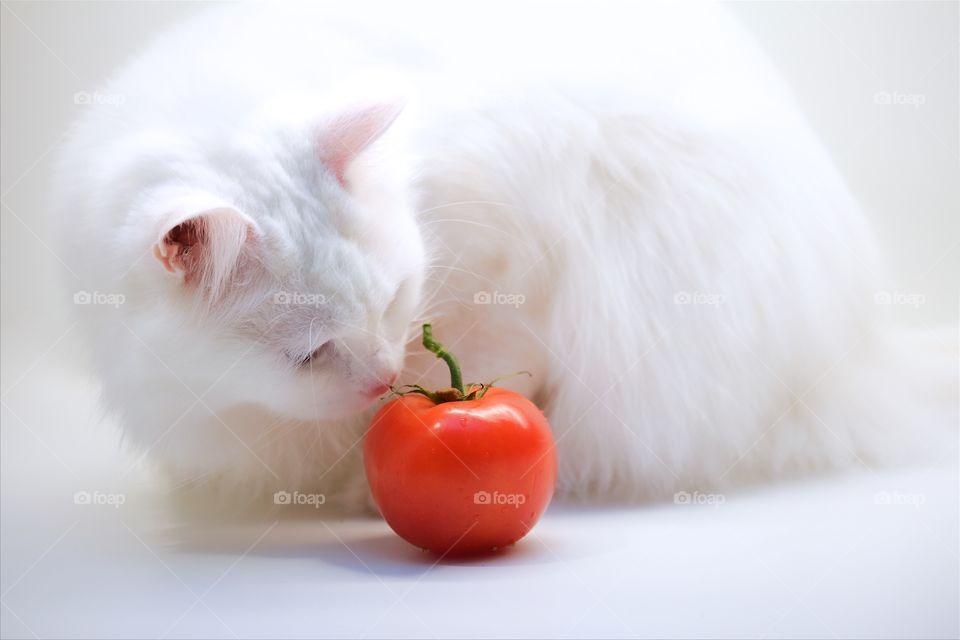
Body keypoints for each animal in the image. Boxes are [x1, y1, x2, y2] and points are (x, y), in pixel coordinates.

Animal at [52, 0, 952, 510]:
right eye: (308, 354)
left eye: (394, 302)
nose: (384, 374)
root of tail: (859, 354)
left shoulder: (515, 271)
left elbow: (496, 360)